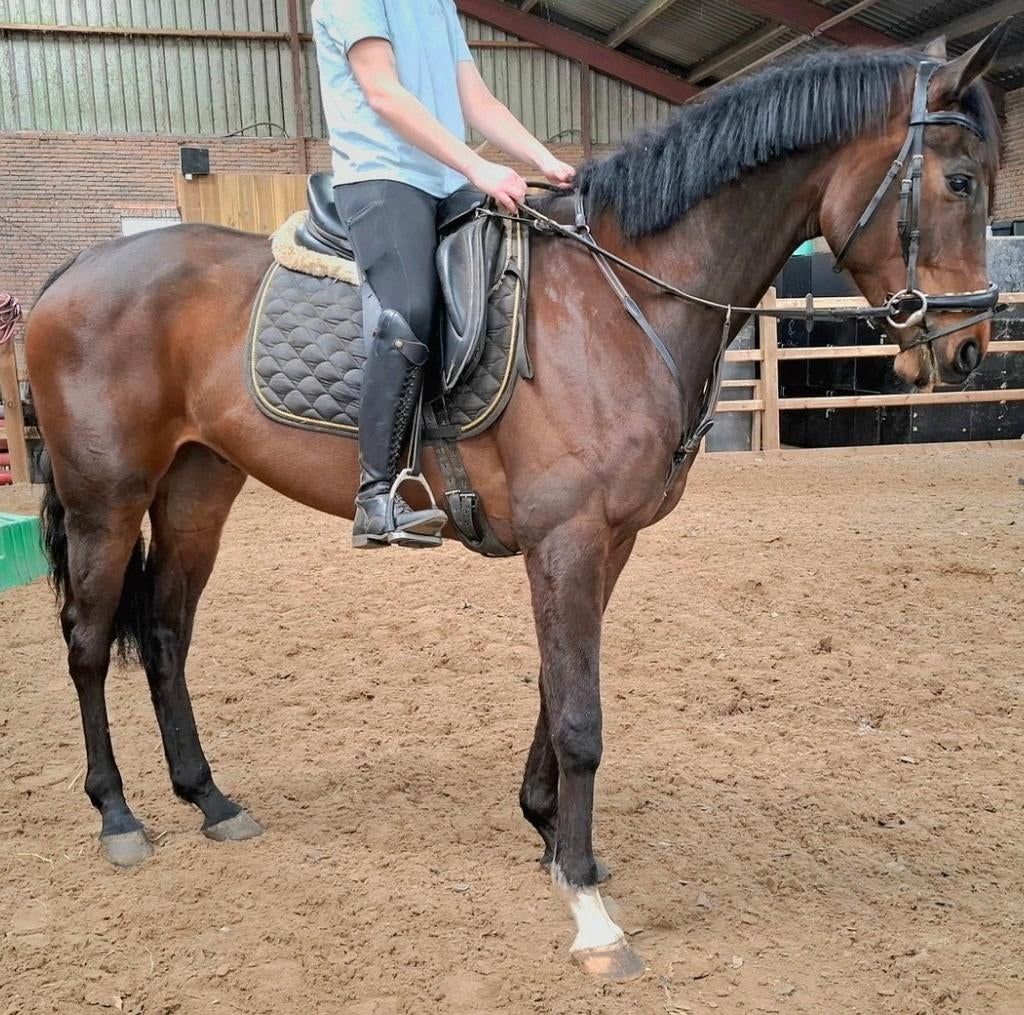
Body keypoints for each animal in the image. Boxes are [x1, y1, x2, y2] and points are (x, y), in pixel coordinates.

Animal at [24, 33, 1005, 981]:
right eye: (960, 182)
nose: (968, 351)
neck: (622, 297)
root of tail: (77, 269)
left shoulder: (606, 543)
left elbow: (554, 684)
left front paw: (550, 833)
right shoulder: (566, 538)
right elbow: (580, 717)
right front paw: (589, 908)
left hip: (198, 487)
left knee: (164, 636)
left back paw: (209, 797)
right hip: (107, 499)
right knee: (86, 643)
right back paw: (118, 815)